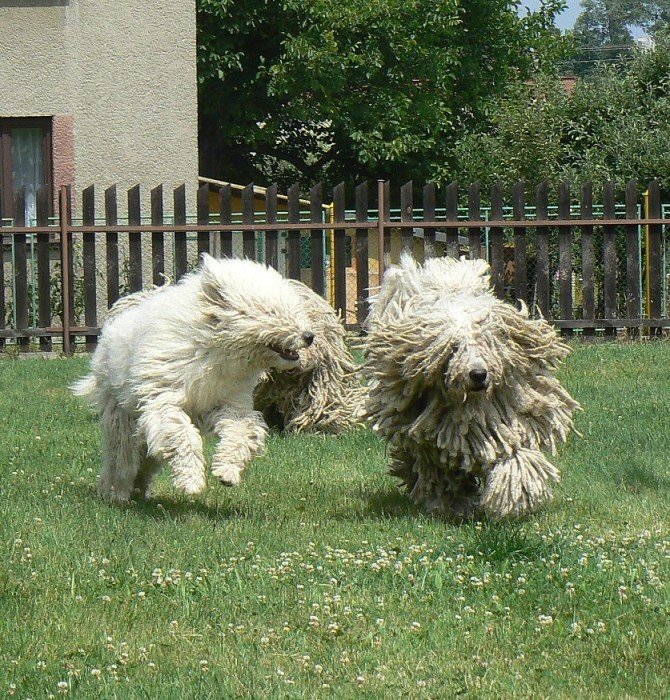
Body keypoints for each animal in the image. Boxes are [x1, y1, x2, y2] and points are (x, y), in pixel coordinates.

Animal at [75, 254, 316, 500]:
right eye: (271, 312)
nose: (309, 336)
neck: (214, 349)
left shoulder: (226, 403)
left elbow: (240, 432)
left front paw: (228, 470)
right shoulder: (164, 401)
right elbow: (182, 435)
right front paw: (191, 479)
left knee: (146, 459)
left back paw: (139, 490)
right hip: (121, 417)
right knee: (121, 459)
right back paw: (116, 494)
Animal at [362, 253, 584, 520]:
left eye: (487, 344)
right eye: (454, 348)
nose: (478, 374)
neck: (471, 406)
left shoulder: (507, 421)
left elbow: (514, 455)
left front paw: (514, 498)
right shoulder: (433, 437)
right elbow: (441, 471)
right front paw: (455, 504)